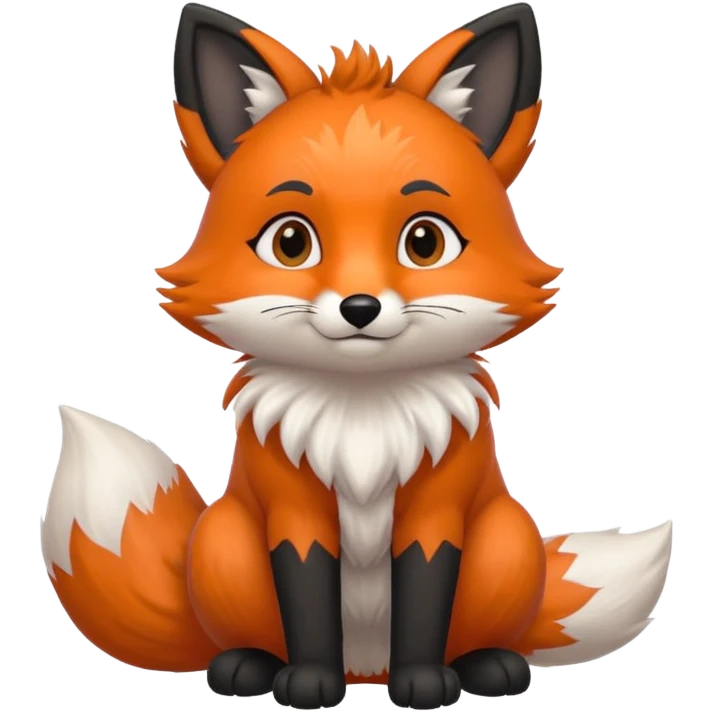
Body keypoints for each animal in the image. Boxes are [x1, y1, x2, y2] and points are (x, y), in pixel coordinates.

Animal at [42, 2, 674, 710]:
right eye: (292, 242)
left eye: (424, 242)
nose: (360, 307)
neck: (363, 416)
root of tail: (365, 669)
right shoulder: (294, 512)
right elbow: (307, 594)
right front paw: (308, 682)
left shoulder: (435, 512)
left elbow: (425, 595)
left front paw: (423, 683)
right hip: (224, 544)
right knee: (240, 636)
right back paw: (249, 666)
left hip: (506, 543)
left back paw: (486, 666)